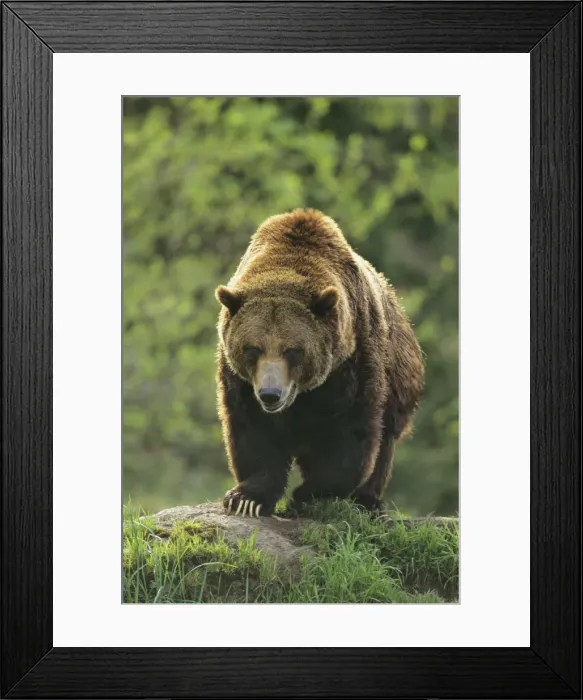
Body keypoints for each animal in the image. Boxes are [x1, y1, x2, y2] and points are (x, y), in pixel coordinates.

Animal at [214, 208, 424, 517]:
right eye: (253, 348)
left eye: (293, 350)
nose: (270, 394)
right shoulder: (240, 380)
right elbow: (253, 430)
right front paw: (247, 499)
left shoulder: (350, 361)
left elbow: (347, 432)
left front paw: (311, 495)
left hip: (399, 379)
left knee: (384, 442)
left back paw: (368, 501)